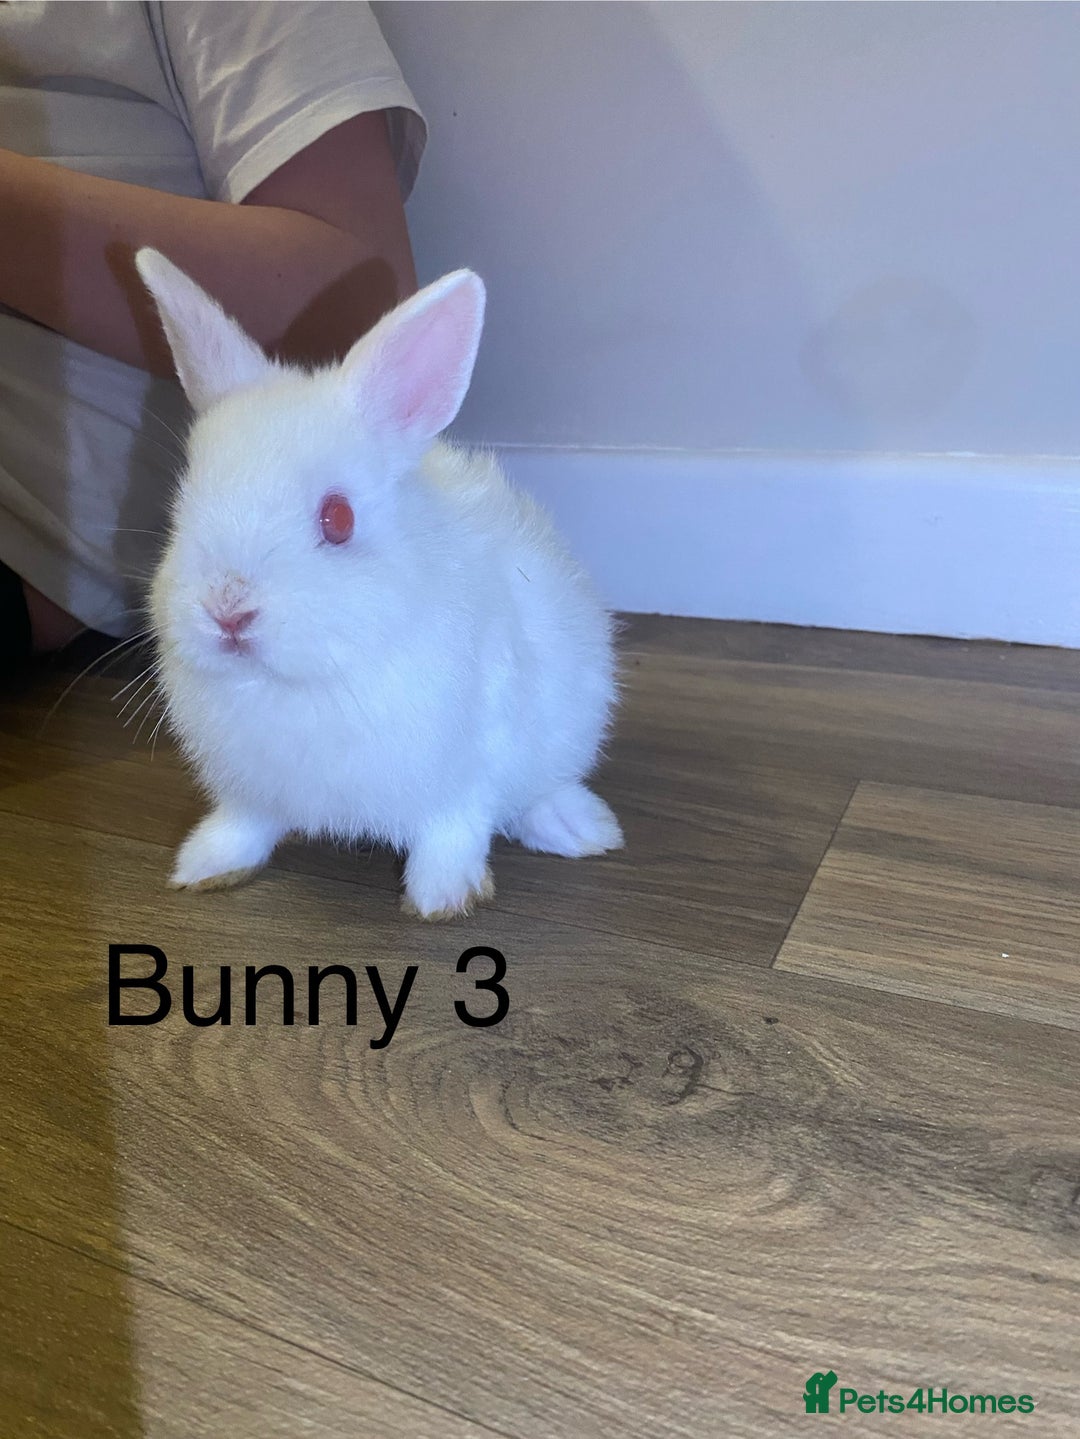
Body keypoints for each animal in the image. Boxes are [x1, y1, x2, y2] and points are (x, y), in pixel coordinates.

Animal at [134, 248, 623, 920]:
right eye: (182, 507)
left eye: (338, 519)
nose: (228, 611)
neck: (303, 681)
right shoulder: (249, 790)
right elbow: (244, 824)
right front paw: (204, 867)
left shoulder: (464, 773)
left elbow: (454, 830)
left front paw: (442, 900)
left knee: (539, 792)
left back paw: (582, 830)